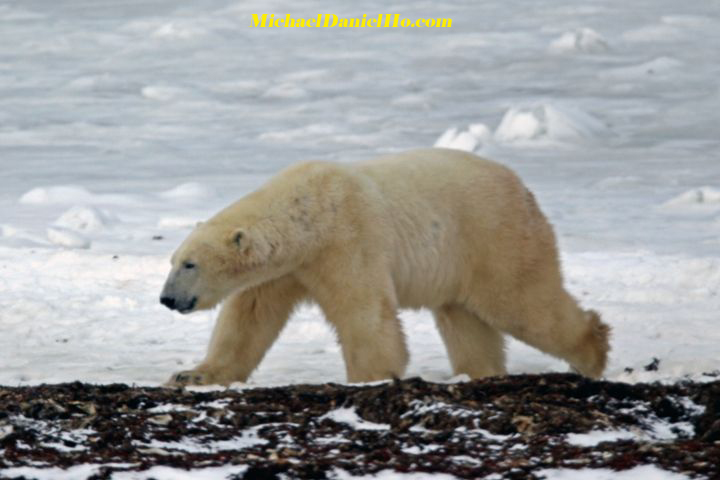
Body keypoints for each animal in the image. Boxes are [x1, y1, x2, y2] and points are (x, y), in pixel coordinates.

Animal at [160, 147, 612, 386]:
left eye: (190, 264)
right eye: (175, 260)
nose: (166, 299)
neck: (307, 213)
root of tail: (522, 187)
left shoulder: (347, 239)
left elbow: (363, 311)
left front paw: (371, 375)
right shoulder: (284, 270)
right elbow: (248, 320)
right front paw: (193, 375)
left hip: (493, 236)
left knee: (521, 302)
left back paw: (591, 356)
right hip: (460, 260)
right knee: (464, 318)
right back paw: (477, 373)